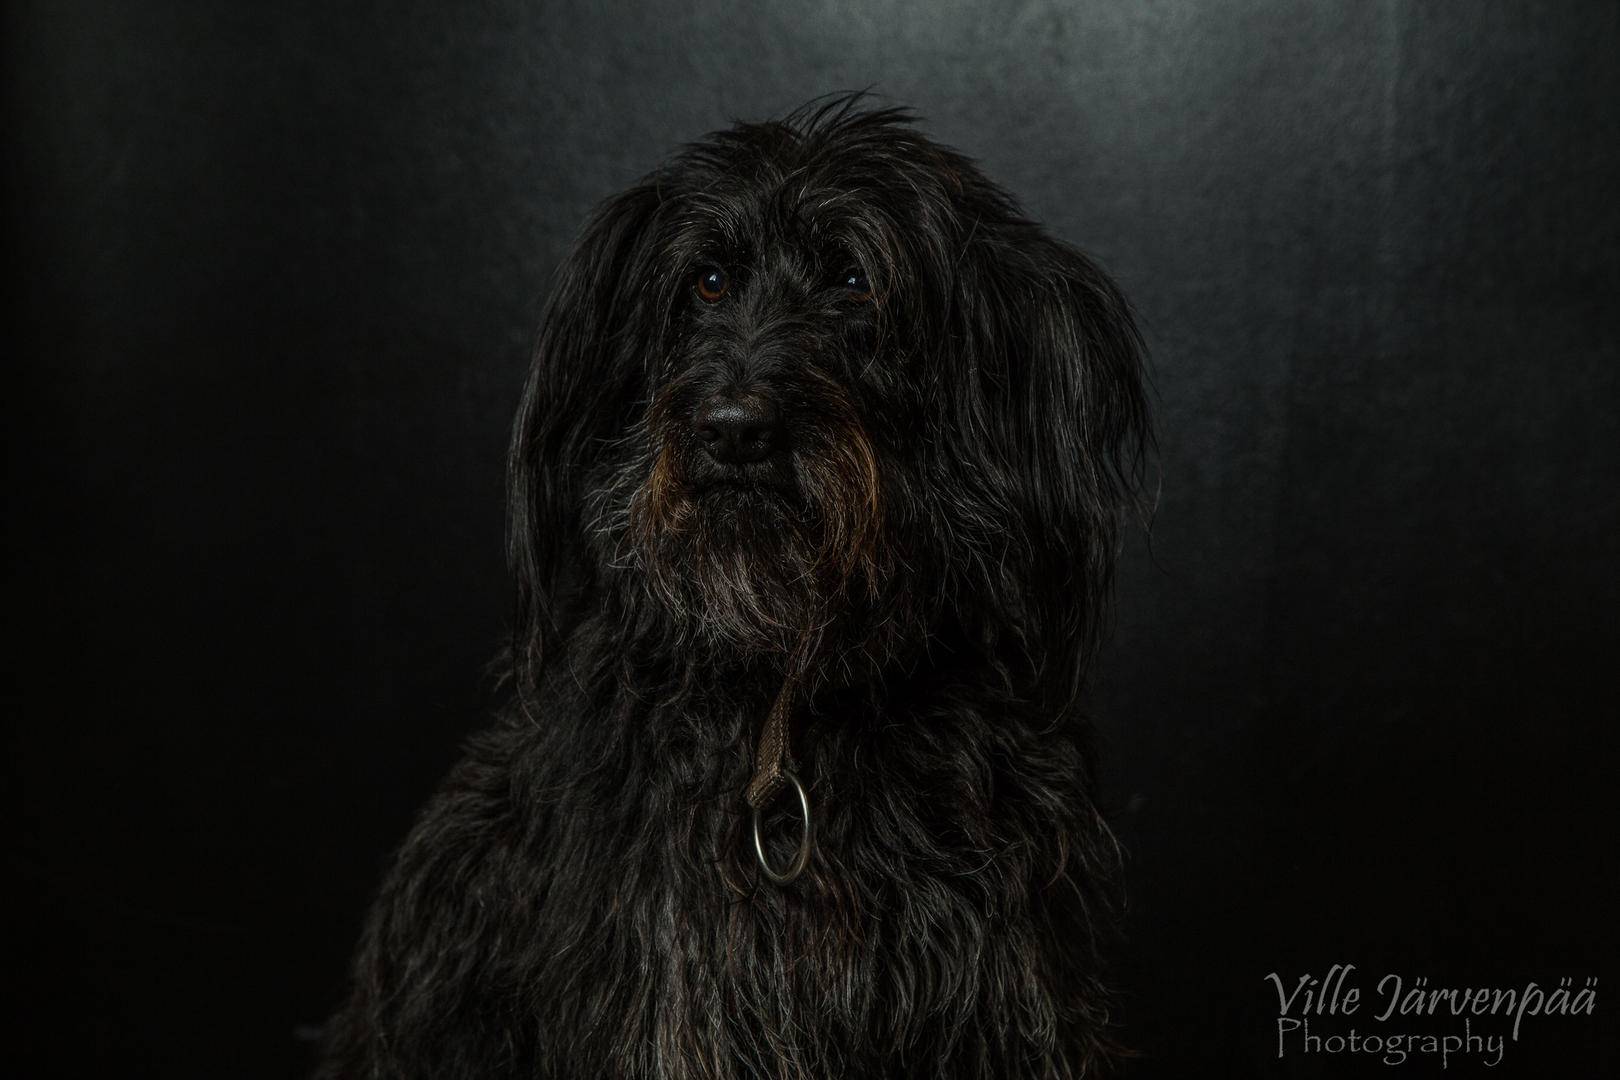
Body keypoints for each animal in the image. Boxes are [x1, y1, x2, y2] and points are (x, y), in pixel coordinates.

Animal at [318, 96, 1150, 1079]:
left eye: (854, 280)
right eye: (708, 282)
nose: (733, 428)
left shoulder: (1002, 997)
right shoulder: (669, 1001)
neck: (783, 690)